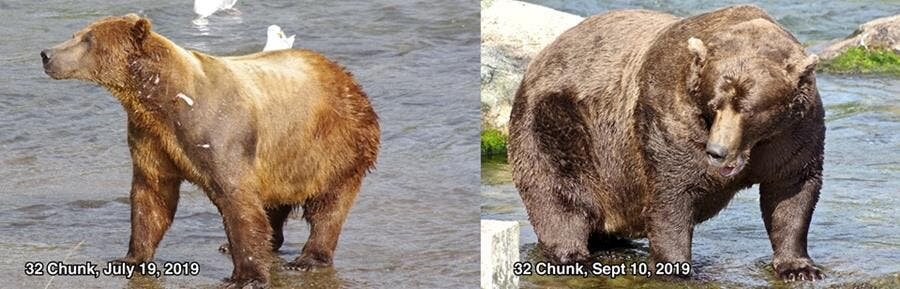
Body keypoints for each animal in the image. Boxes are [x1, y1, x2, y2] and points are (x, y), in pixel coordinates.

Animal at [41, 13, 380, 286]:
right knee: (273, 201)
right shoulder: (150, 138)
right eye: (77, 33)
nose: (46, 54)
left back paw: (307, 259)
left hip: (334, 146)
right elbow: (151, 194)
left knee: (328, 204)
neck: (160, 100)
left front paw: (245, 277)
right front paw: (131, 258)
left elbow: (236, 198)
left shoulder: (218, 133)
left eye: (87, 39)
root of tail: (348, 78)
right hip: (282, 158)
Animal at [510, 4, 828, 280]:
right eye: (714, 105)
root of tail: (541, 56)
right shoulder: (670, 118)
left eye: (749, 109)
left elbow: (791, 192)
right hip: (558, 122)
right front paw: (674, 267)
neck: (754, 147)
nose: (717, 151)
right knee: (556, 191)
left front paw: (799, 267)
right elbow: (672, 194)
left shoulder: (794, 134)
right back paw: (574, 255)